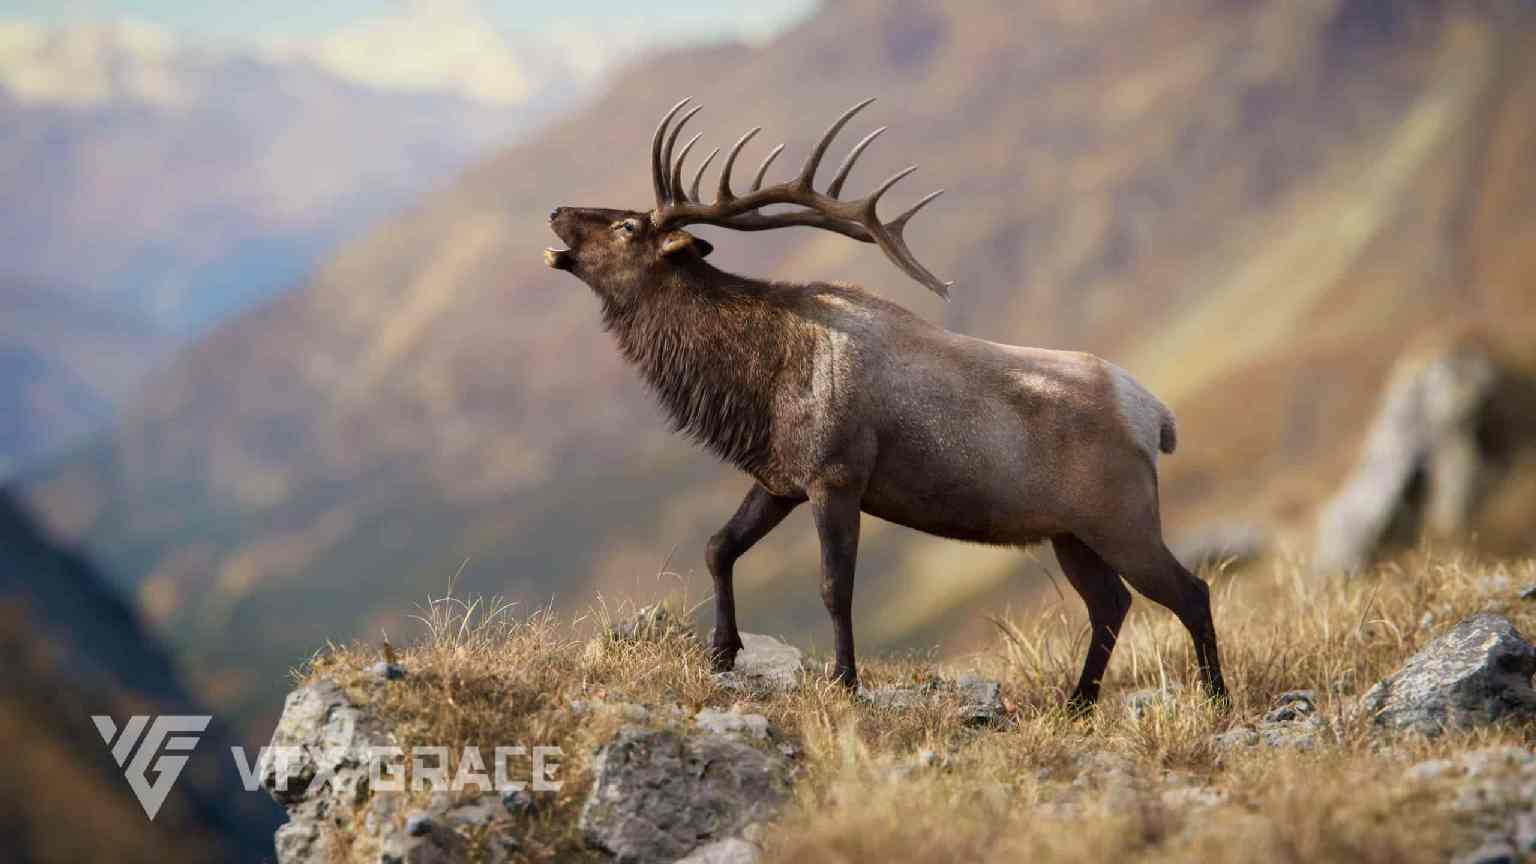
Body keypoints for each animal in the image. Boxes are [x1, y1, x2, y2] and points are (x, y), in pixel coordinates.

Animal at [544, 97, 1227, 711]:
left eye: (629, 226)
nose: (556, 211)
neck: (754, 384)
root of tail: (1157, 416)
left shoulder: (837, 474)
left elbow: (834, 587)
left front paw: (845, 682)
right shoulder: (780, 478)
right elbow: (719, 546)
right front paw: (720, 653)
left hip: (1123, 517)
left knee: (1189, 591)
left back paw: (1215, 699)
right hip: (1071, 532)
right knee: (1110, 603)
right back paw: (1077, 703)